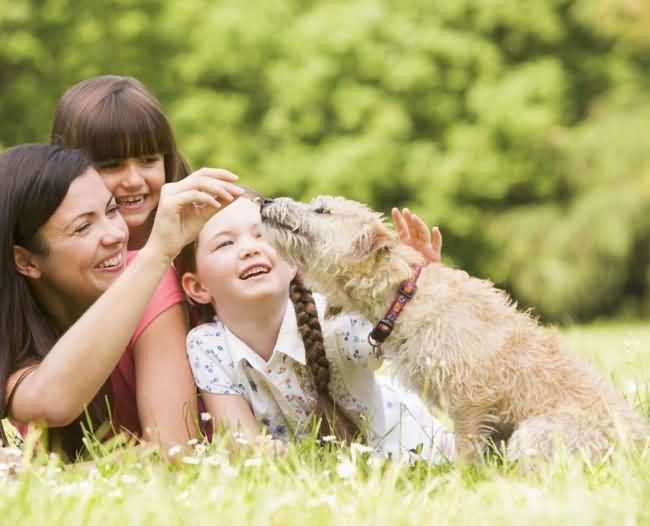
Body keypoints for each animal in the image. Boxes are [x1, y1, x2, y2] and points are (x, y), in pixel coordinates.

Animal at [260, 196, 648, 464]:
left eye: (322, 210)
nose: (265, 201)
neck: (404, 294)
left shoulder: (470, 398)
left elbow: (465, 452)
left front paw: (460, 482)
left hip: (534, 433)